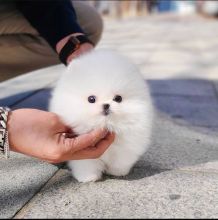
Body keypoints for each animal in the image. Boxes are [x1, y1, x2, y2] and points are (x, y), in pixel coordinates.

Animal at [49, 49, 152, 182]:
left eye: (118, 98)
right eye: (91, 99)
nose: (106, 105)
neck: (106, 124)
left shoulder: (125, 147)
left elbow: (120, 161)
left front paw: (118, 172)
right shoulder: (82, 152)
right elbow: (86, 164)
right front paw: (88, 177)